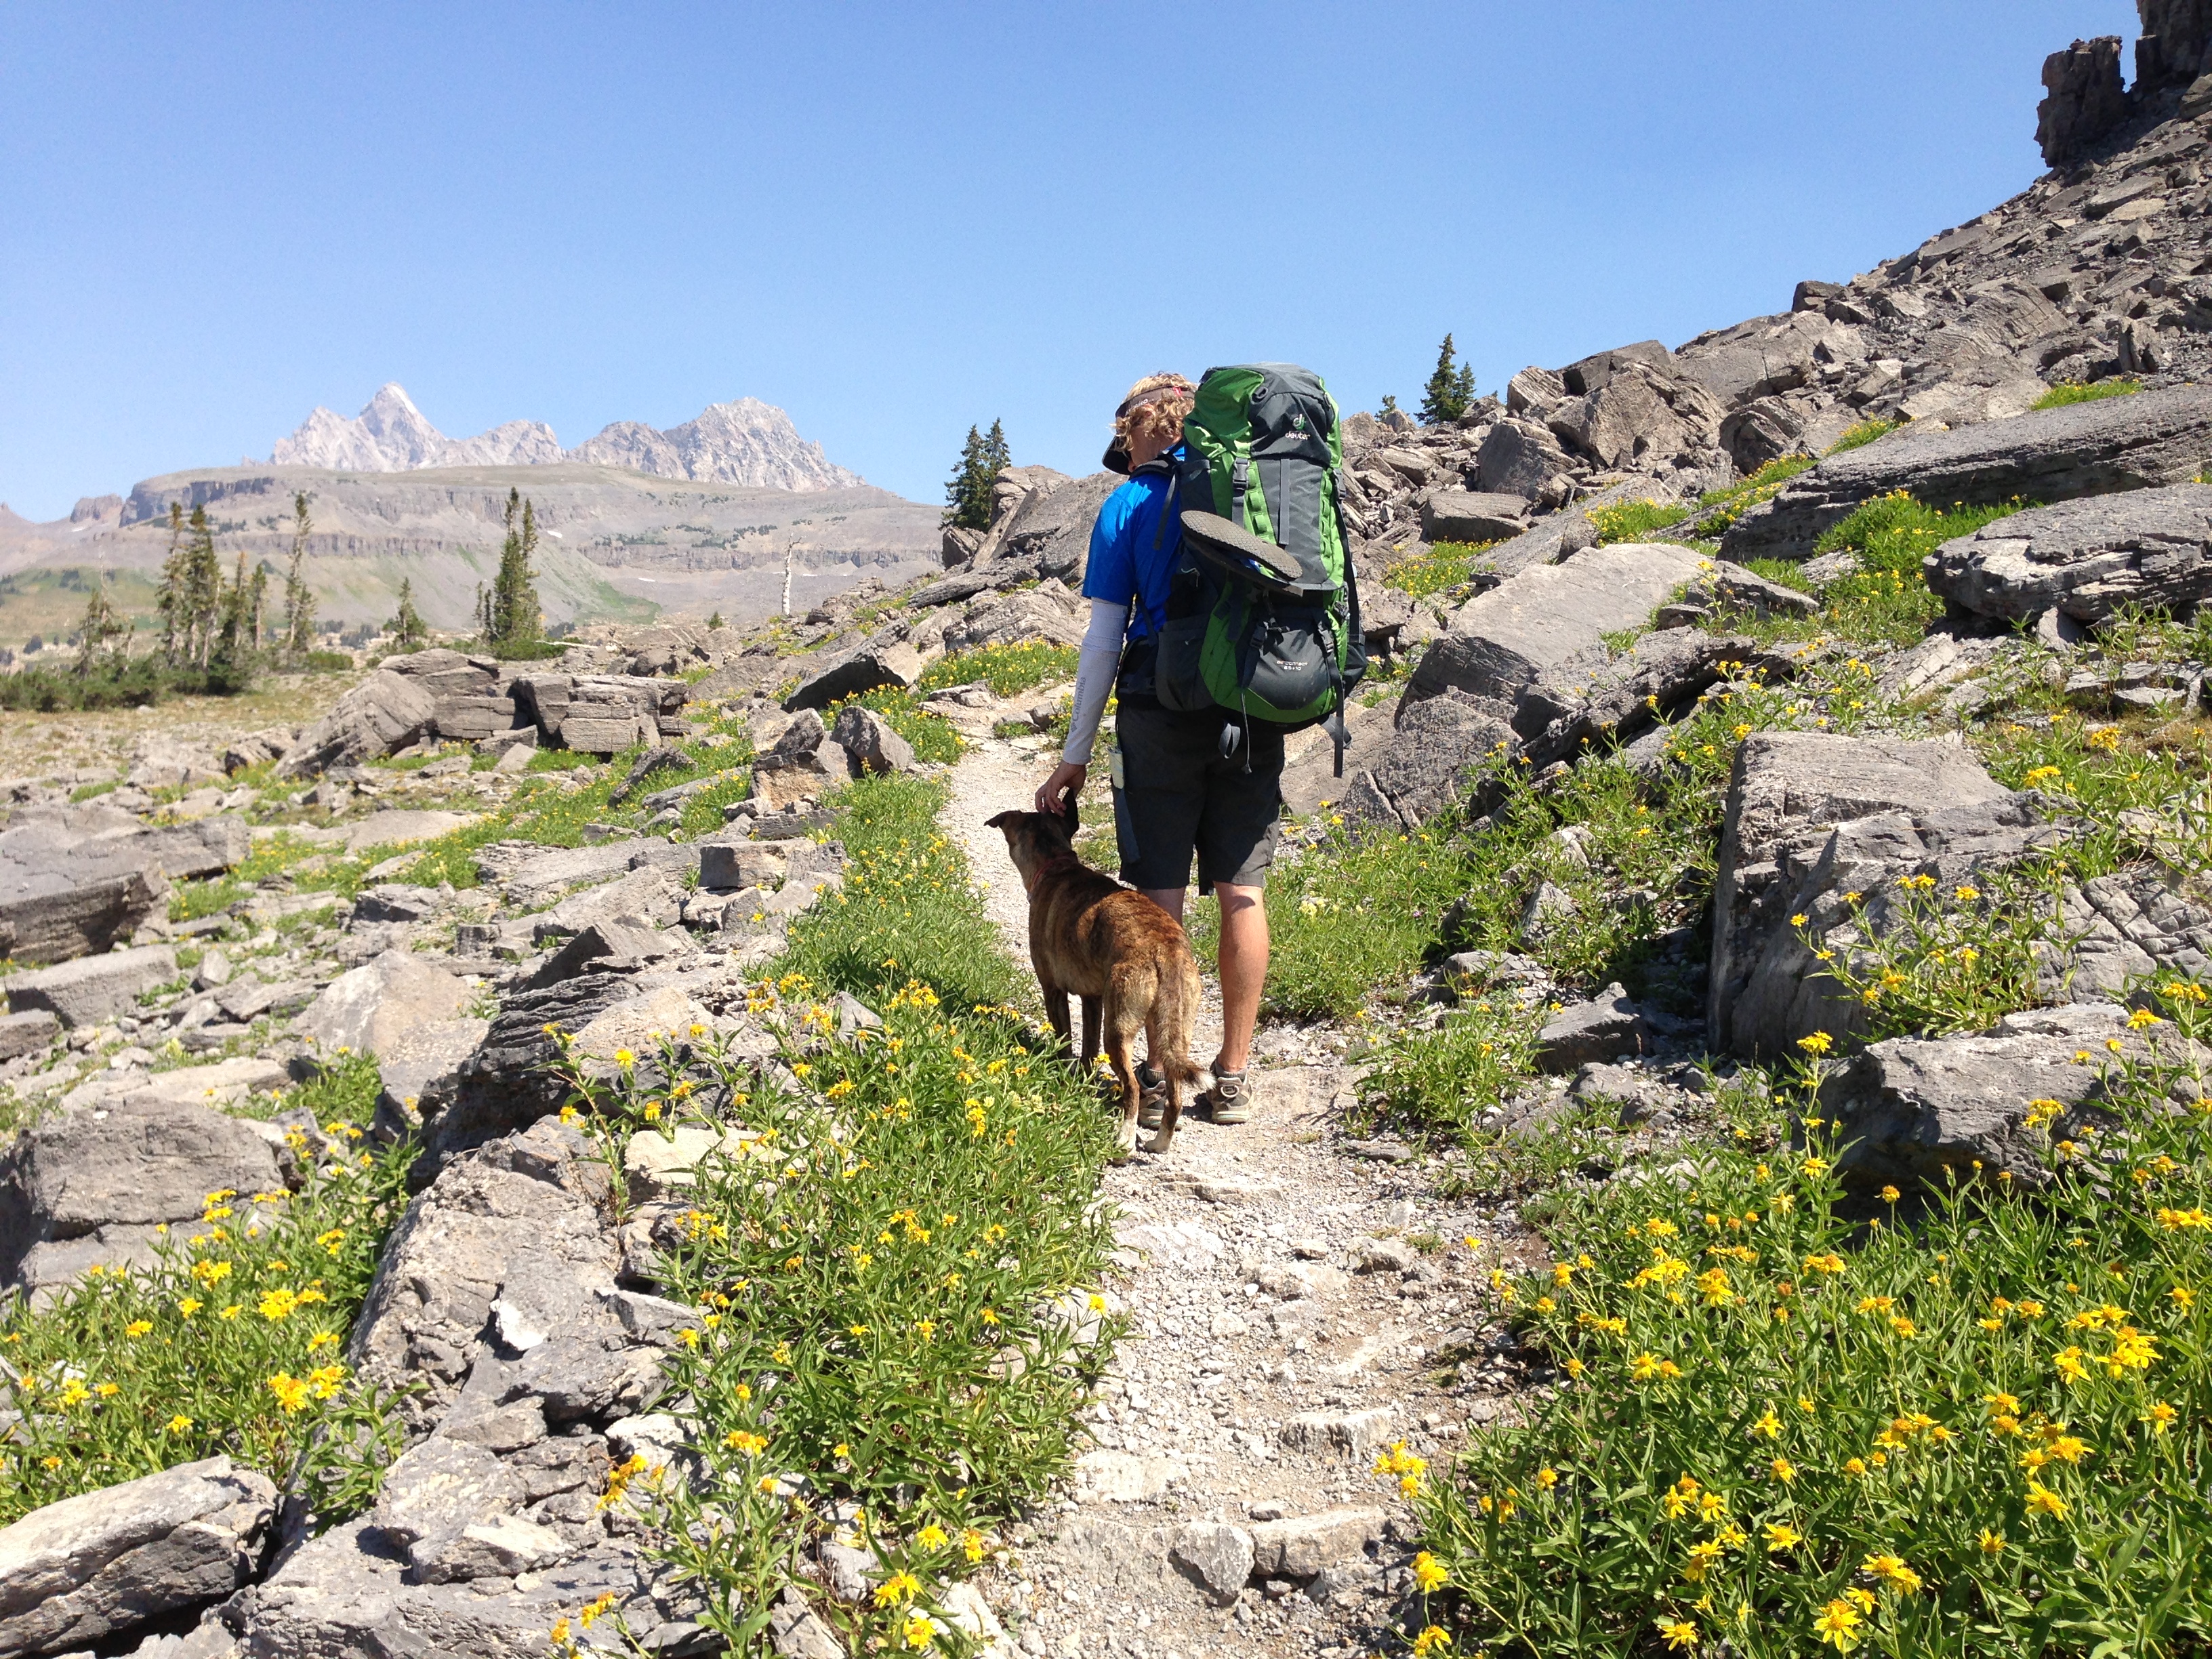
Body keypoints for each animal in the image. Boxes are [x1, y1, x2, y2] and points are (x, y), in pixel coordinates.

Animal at [995, 805, 1212, 1159]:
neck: (1057, 865)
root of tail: (1164, 949)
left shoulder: (1054, 991)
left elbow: (1065, 1040)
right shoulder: (1093, 998)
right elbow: (1087, 1046)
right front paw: (1082, 1080)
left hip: (1120, 1026)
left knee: (1132, 1088)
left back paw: (1124, 1141)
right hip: (1175, 1029)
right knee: (1175, 1096)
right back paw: (1159, 1143)